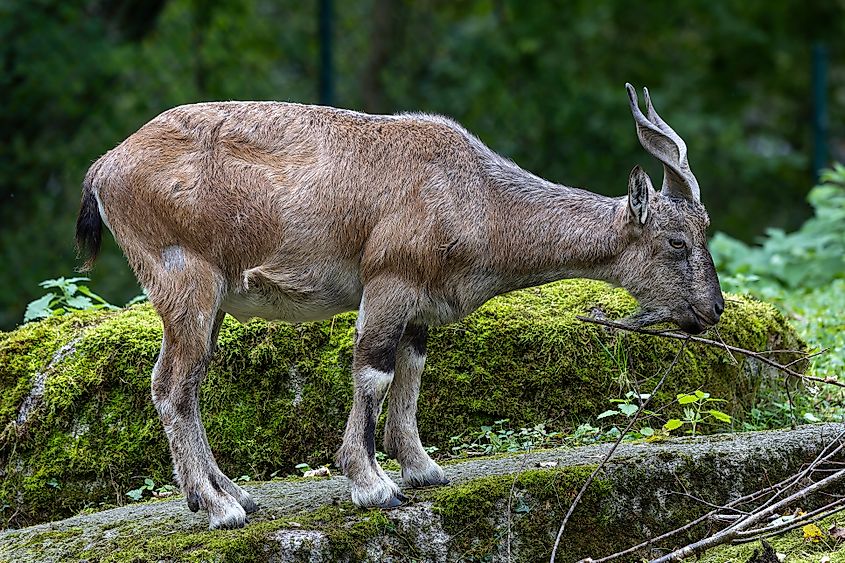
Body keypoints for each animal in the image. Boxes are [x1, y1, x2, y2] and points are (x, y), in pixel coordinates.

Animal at [75, 84, 723, 529]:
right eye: (676, 241)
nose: (712, 310)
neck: (475, 196)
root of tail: (105, 167)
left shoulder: (419, 307)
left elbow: (411, 372)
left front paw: (421, 467)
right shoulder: (388, 282)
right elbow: (374, 370)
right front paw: (372, 484)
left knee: (189, 384)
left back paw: (236, 495)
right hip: (183, 280)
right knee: (171, 385)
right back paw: (217, 508)